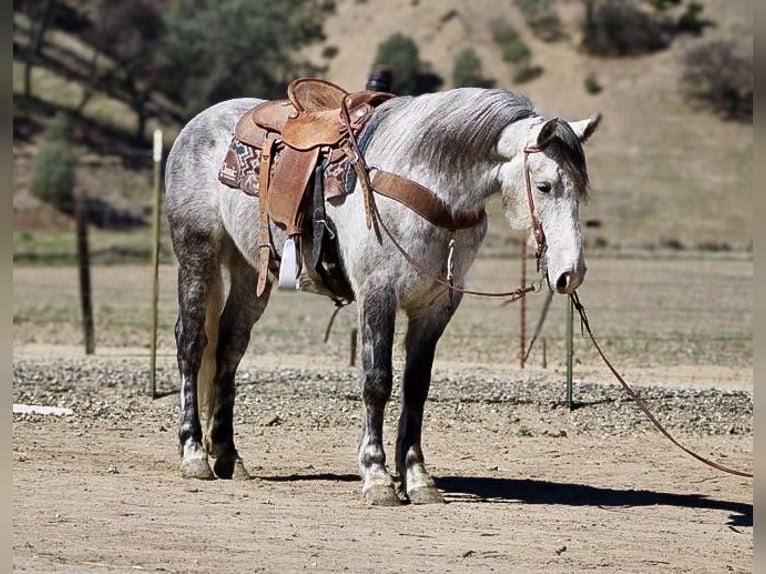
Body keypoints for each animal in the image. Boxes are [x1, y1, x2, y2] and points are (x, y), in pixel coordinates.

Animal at [164, 85, 600, 505]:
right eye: (544, 185)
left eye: (579, 189)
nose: (572, 273)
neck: (429, 184)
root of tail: (198, 124)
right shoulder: (378, 293)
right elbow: (377, 381)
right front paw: (377, 476)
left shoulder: (436, 307)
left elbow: (416, 386)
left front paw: (418, 479)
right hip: (197, 253)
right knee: (192, 343)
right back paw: (194, 453)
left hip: (250, 270)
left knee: (228, 349)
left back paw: (228, 456)